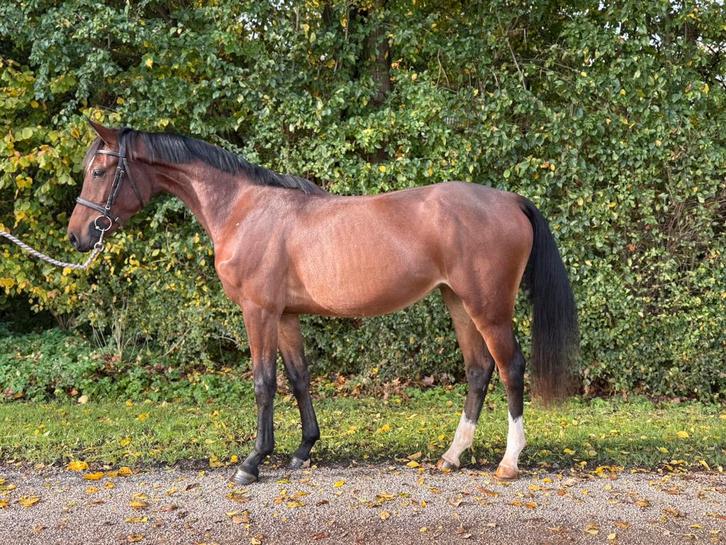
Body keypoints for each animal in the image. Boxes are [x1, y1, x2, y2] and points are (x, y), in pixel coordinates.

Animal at [67, 120, 578, 485]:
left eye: (99, 172)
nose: (77, 236)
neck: (243, 209)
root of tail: (510, 199)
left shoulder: (259, 312)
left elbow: (264, 382)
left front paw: (253, 462)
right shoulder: (286, 316)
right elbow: (298, 379)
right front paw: (302, 451)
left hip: (487, 307)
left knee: (510, 367)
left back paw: (509, 461)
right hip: (457, 301)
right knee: (478, 370)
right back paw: (452, 456)